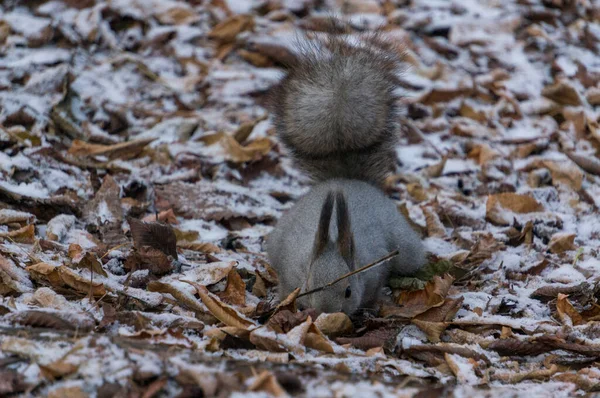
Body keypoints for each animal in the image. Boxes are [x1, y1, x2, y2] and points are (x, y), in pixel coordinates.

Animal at [268, 28, 426, 316]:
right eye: (309, 285)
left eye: (348, 291)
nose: (325, 311)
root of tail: (345, 179)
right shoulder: (288, 270)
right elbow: (285, 288)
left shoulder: (375, 270)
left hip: (406, 250)